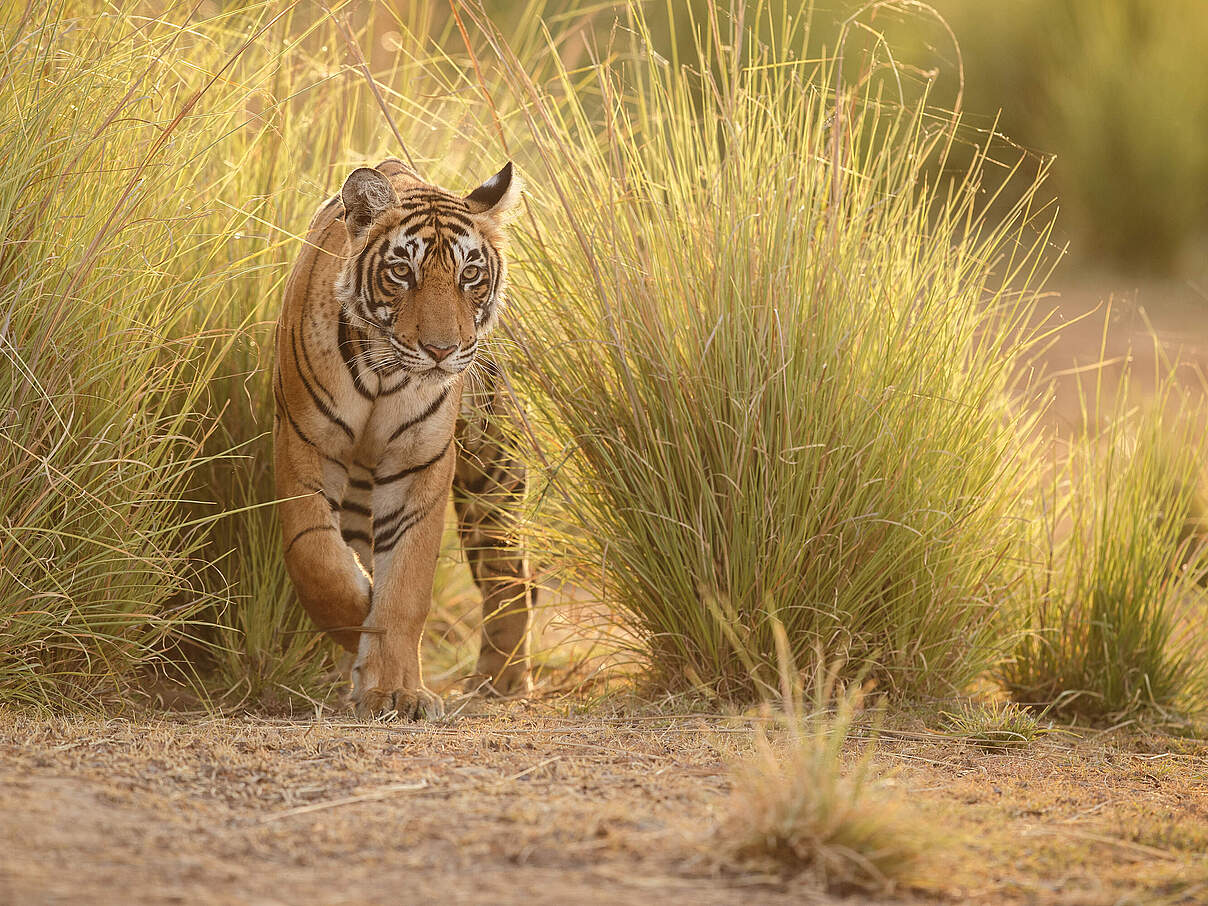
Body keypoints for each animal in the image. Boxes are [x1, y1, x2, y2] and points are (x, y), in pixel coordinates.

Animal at [273, 157, 532, 719]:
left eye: (470, 274)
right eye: (401, 272)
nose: (442, 350)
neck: (384, 373)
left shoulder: (419, 463)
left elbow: (406, 583)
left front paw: (395, 690)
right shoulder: (306, 443)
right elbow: (318, 561)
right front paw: (360, 625)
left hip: (494, 474)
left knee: (511, 575)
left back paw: (499, 680)